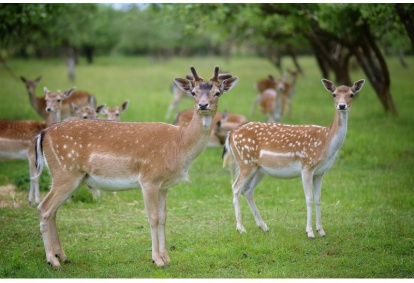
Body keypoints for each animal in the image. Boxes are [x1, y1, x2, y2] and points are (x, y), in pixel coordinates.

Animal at [32, 65, 239, 270]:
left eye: (217, 92)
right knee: (44, 208)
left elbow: (164, 217)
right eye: (193, 92)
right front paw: (157, 260)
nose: (202, 105)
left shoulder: (165, 185)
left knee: (53, 211)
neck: (179, 145)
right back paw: (52, 260)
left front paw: (167, 257)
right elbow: (153, 217)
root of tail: (43, 133)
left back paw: (62, 256)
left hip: (68, 176)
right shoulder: (149, 179)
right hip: (65, 172)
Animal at [223, 78, 366, 240]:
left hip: (259, 169)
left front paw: (321, 231)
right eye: (334, 94)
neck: (326, 142)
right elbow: (308, 199)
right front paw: (310, 232)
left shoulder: (320, 172)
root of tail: (231, 134)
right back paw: (241, 228)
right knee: (236, 188)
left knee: (247, 190)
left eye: (352, 94)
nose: (342, 106)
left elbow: (318, 199)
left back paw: (263, 226)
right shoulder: (306, 166)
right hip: (245, 162)